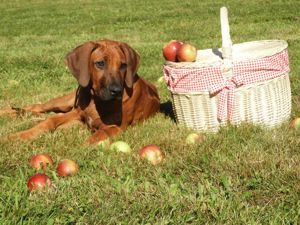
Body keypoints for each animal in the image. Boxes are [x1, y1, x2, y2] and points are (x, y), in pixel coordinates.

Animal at [1, 39, 161, 143]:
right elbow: (49, 120)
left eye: (123, 66)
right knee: (36, 107)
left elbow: (92, 139)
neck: (95, 100)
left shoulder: (114, 127)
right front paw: (18, 136)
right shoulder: (77, 113)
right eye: (100, 63)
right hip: (65, 101)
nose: (117, 91)